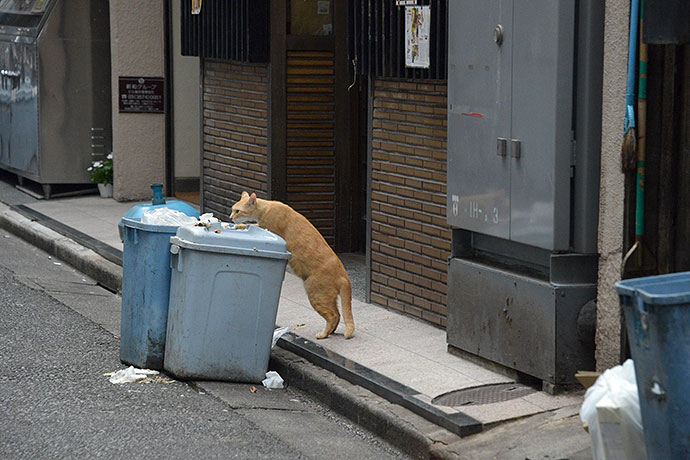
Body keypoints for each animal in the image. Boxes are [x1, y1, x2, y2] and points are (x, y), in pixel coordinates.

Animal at [228, 190, 354, 338]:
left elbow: (251, 225)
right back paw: (330, 332)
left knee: (333, 316)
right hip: (327, 298)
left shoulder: (269, 228)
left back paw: (323, 334)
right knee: (338, 315)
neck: (266, 208)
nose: (230, 217)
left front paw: (239, 226)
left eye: (237, 211)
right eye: (232, 210)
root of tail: (344, 276)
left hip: (316, 295)